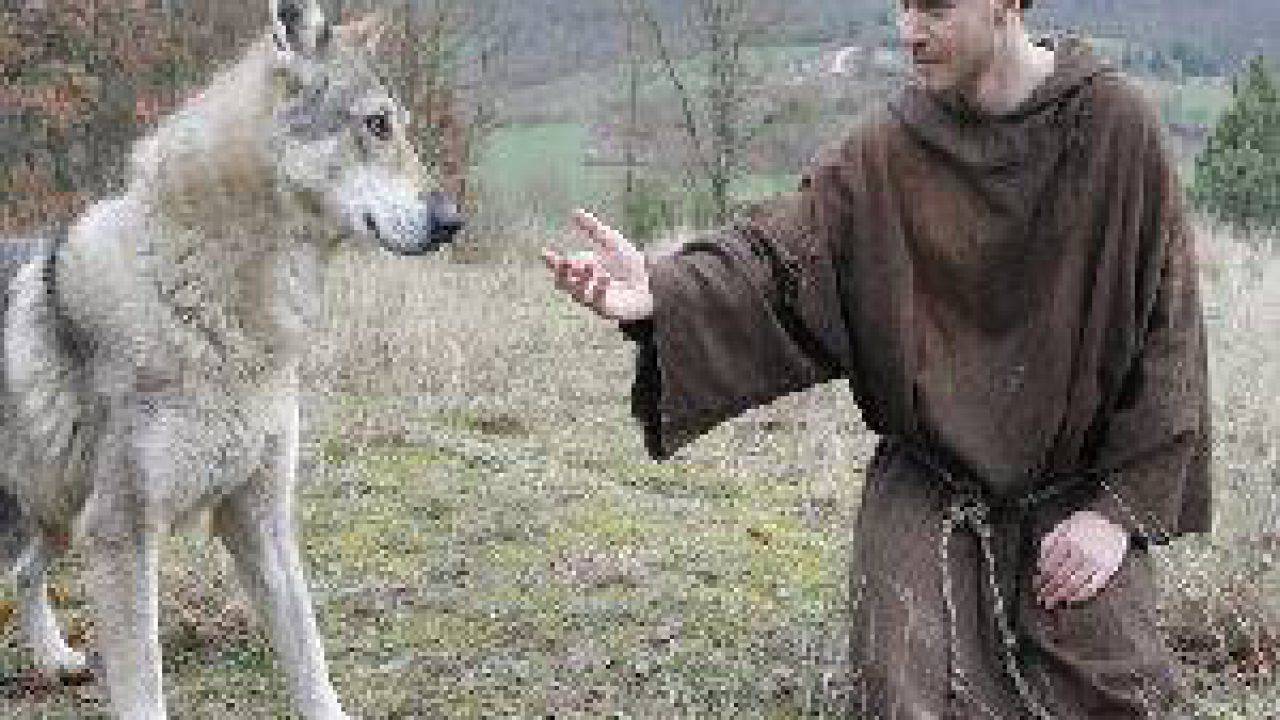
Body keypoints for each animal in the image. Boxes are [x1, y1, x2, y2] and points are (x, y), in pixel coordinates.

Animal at [0, 2, 460, 712]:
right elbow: (144, 689)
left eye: (401, 127)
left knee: (26, 572)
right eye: (377, 125)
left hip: (56, 516)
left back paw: (54, 660)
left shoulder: (259, 516)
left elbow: (308, 654)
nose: (453, 220)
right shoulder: (123, 532)